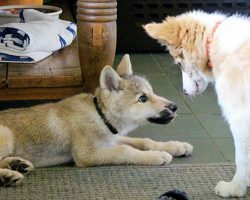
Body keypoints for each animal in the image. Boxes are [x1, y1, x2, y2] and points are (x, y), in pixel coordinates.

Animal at [144, 10, 250, 197]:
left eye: (180, 63)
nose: (185, 92)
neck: (214, 42)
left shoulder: (241, 118)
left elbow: (242, 158)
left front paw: (234, 188)